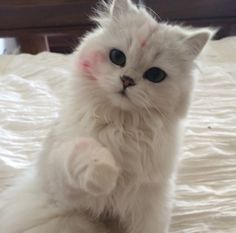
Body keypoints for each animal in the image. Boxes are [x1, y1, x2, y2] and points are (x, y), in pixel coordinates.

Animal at [0, 0, 212, 233]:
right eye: (117, 57)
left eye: (155, 75)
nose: (127, 80)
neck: (122, 125)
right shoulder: (61, 189)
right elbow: (85, 153)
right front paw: (107, 176)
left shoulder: (149, 204)